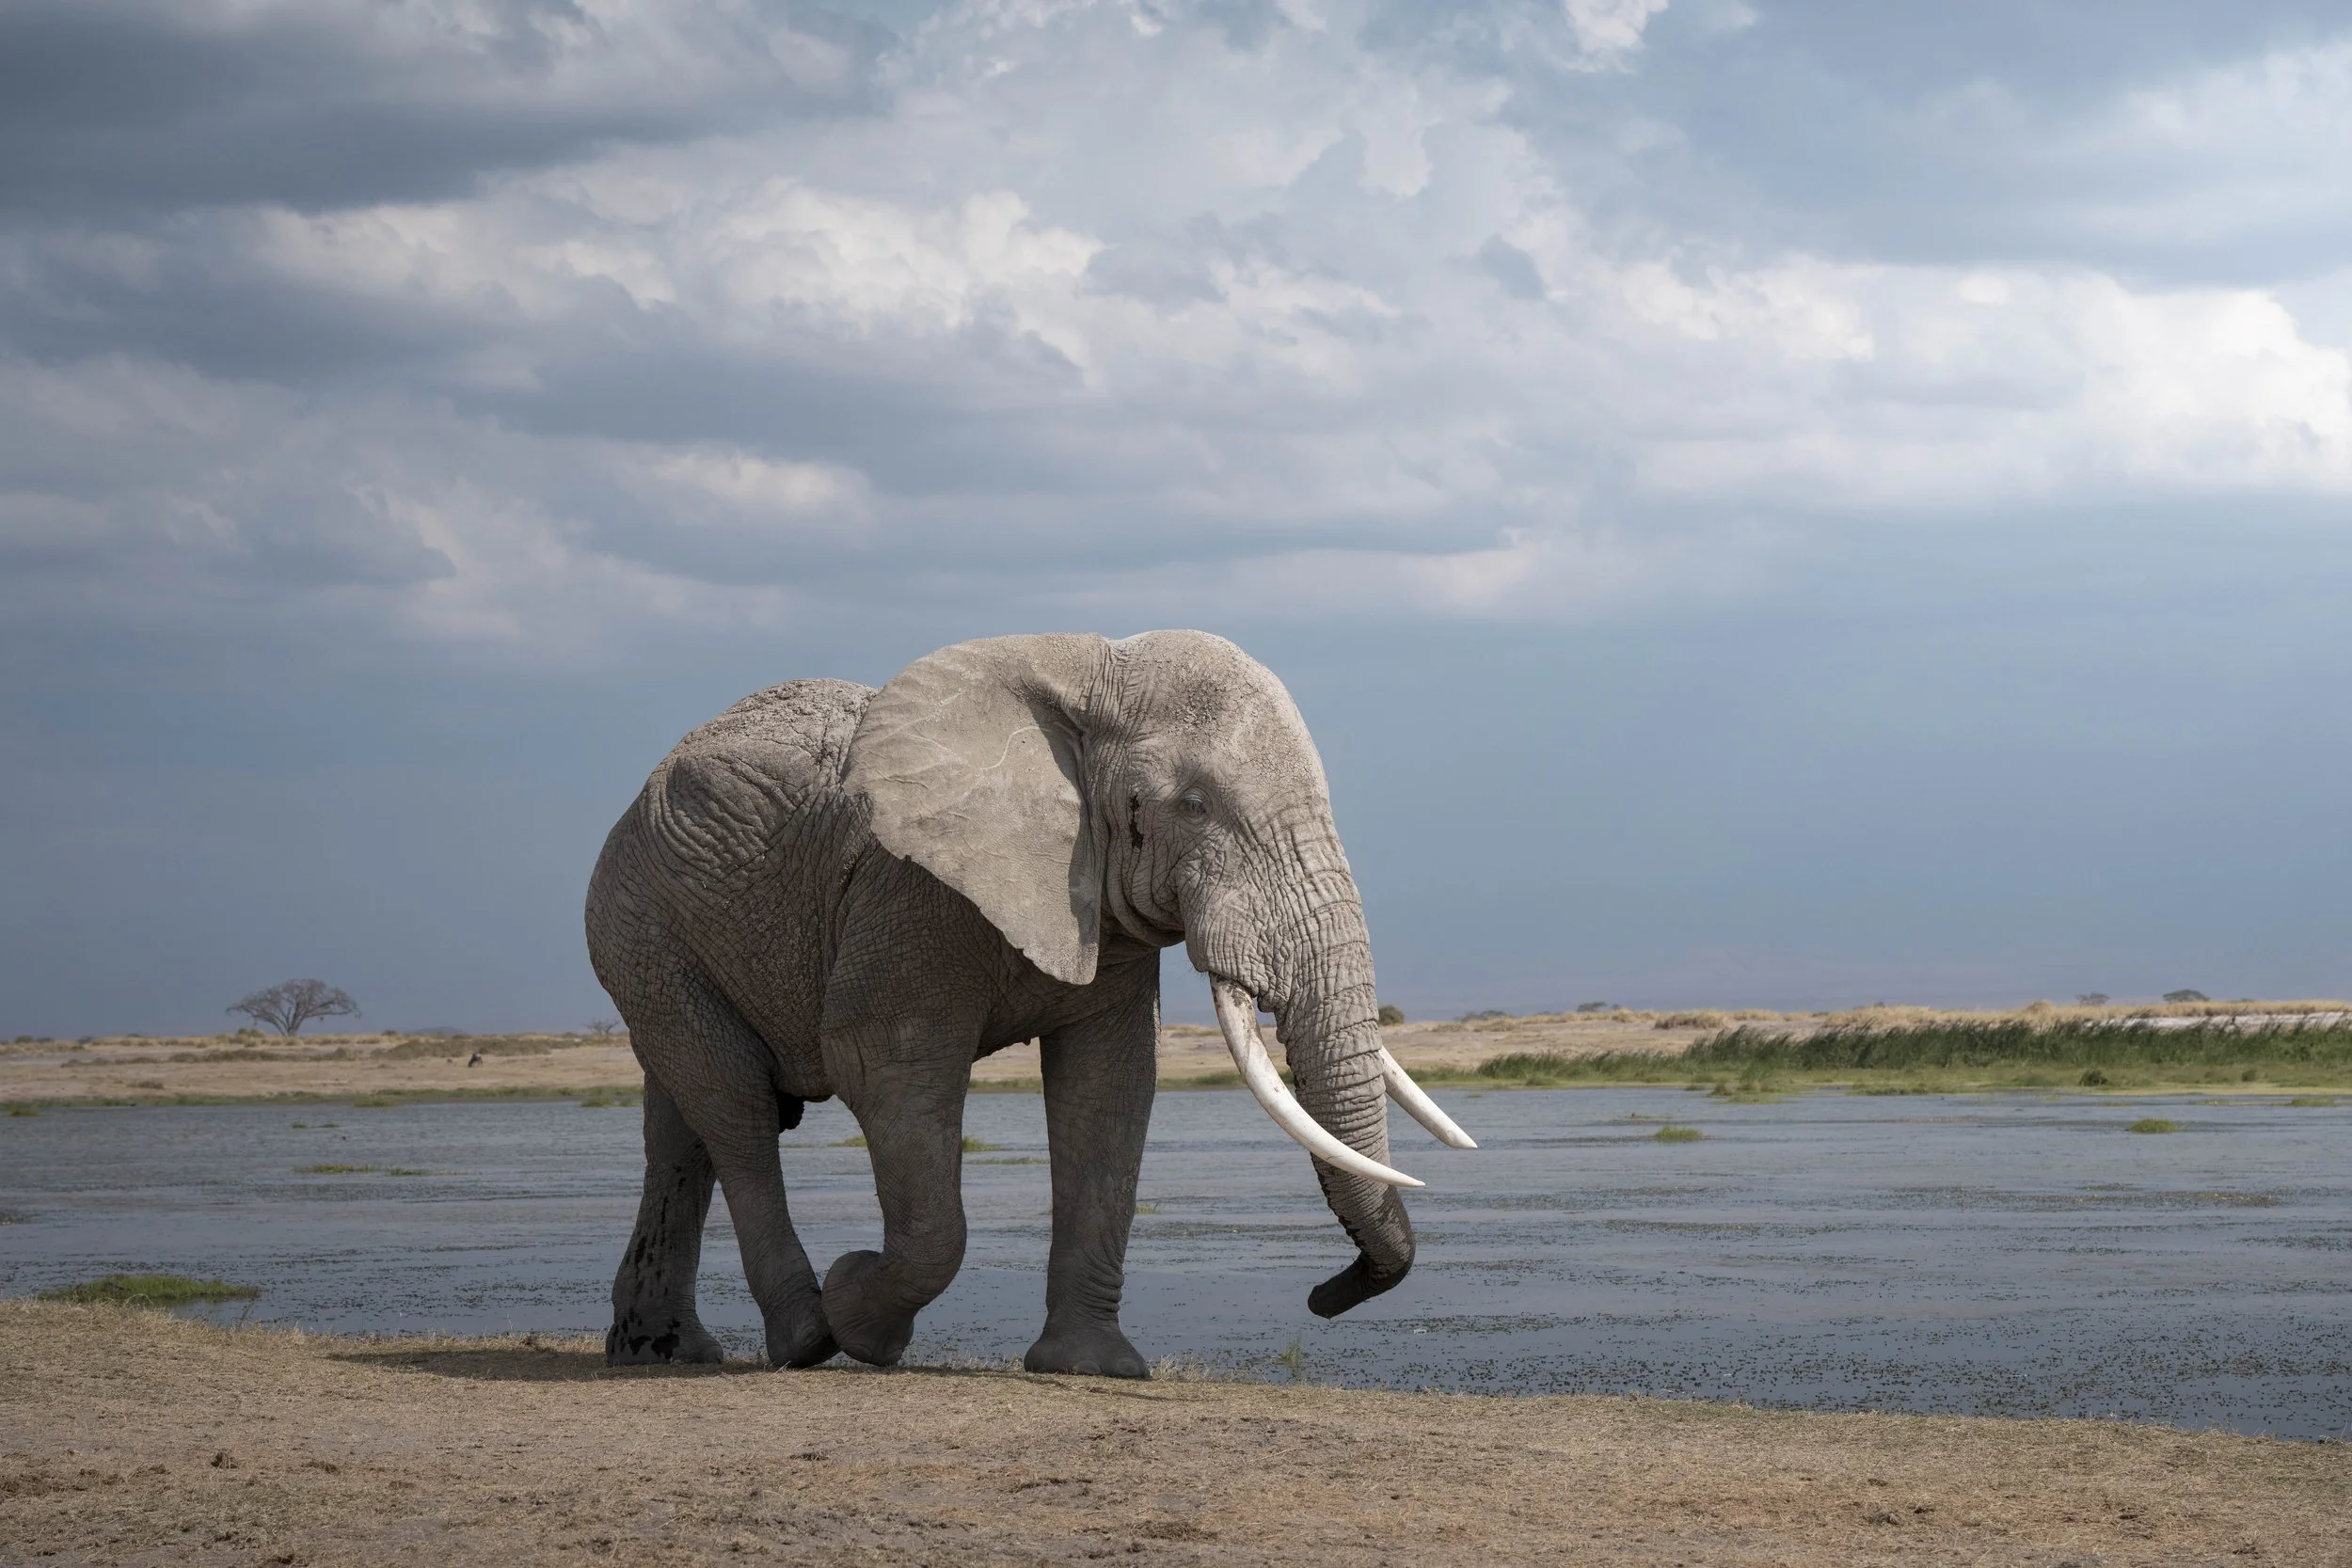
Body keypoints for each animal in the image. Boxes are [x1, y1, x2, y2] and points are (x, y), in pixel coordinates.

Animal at [584, 630, 1474, 1378]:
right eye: (1193, 806)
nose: (1325, 1294)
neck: (1089, 671)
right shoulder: (911, 889)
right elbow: (882, 1063)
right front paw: (860, 1317)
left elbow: (1108, 1086)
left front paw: (1092, 1367)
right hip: (642, 927)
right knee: (736, 1112)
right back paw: (804, 1337)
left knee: (681, 1127)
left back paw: (663, 1350)